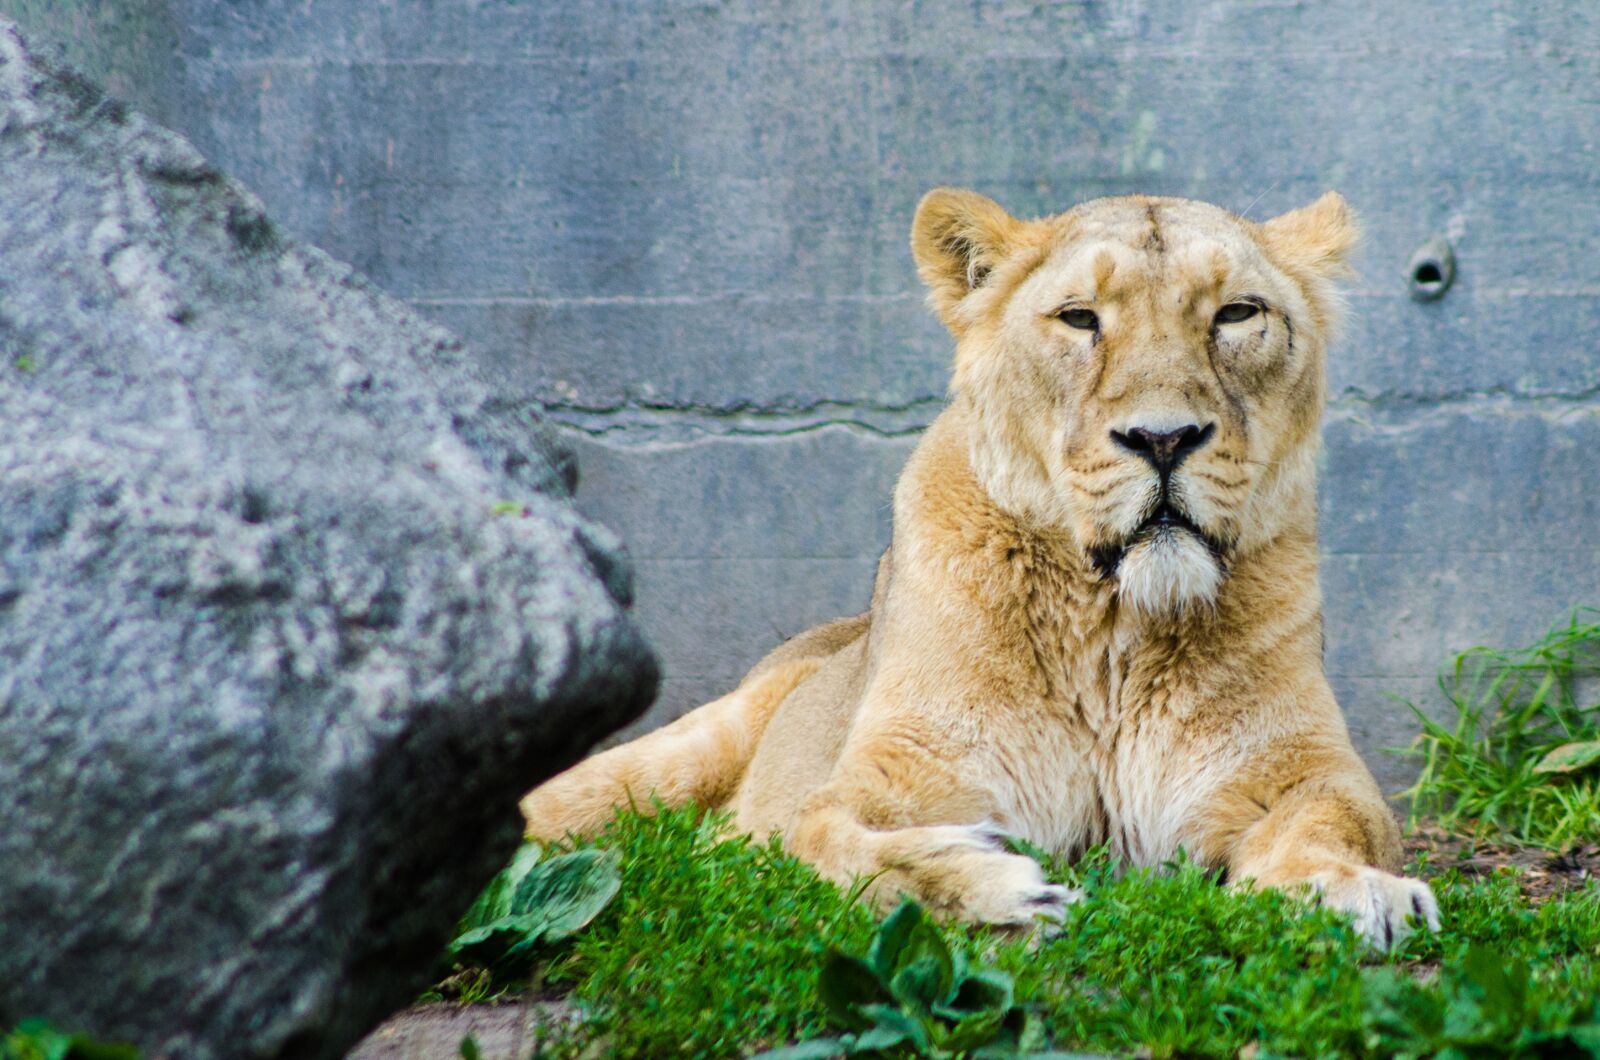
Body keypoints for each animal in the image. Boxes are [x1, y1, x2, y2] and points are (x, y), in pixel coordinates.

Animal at [522, 188, 1441, 949]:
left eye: (1237, 314)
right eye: (1079, 319)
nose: (1164, 438)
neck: (1115, 625)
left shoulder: (1300, 769)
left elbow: (1330, 823)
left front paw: (1349, 892)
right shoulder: (884, 779)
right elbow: (826, 841)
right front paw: (1001, 886)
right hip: (672, 755)